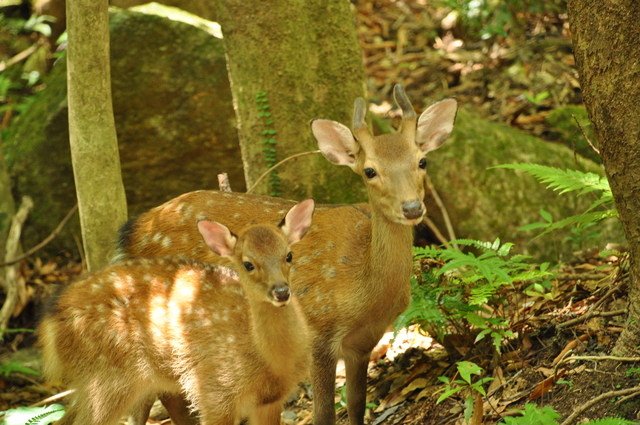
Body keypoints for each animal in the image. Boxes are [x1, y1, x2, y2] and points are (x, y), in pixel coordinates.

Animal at [38, 199, 314, 424]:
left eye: (288, 255)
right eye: (248, 264)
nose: (281, 291)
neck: (272, 362)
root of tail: (52, 317)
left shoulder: (271, 400)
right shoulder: (214, 390)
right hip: (108, 376)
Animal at [115, 85, 456, 424]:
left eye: (422, 161)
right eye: (370, 170)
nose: (412, 208)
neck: (365, 294)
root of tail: (132, 231)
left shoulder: (362, 344)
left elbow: (357, 406)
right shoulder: (318, 333)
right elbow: (324, 414)